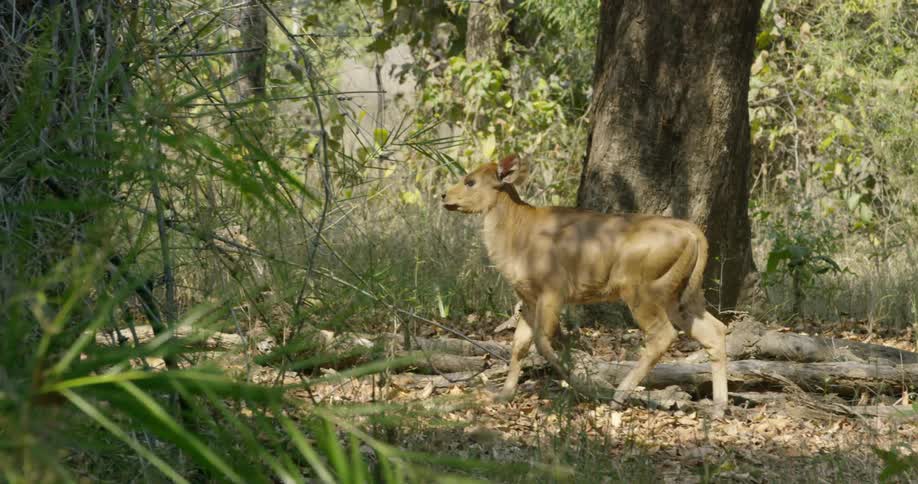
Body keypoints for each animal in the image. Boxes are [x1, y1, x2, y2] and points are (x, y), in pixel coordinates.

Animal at [441, 154, 729, 416]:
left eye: (470, 181)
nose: (444, 195)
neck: (516, 238)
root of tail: (694, 234)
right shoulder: (528, 298)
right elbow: (520, 345)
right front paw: (504, 394)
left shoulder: (553, 290)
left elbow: (544, 341)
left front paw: (580, 384)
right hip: (680, 294)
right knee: (715, 331)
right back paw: (718, 408)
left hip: (641, 290)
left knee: (662, 335)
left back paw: (618, 396)